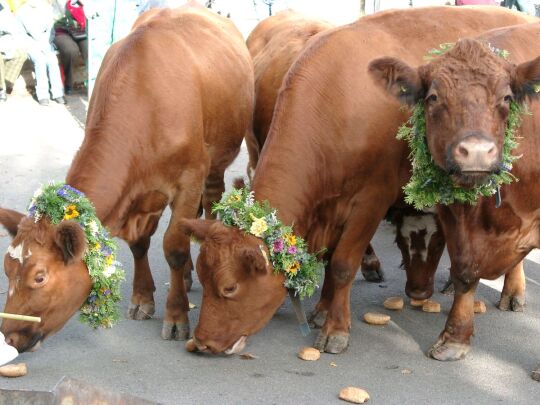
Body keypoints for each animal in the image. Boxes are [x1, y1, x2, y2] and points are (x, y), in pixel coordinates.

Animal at [0, 3, 254, 350]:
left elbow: (174, 246)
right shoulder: (141, 197)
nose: (9, 336)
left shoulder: (189, 180)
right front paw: (142, 297)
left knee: (211, 202)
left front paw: (176, 315)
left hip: (217, 161)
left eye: (40, 276)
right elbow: (139, 244)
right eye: (6, 268)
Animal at [368, 22, 540, 360]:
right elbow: (464, 268)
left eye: (506, 98)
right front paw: (454, 338)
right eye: (433, 97)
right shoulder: (455, 214)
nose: (476, 152)